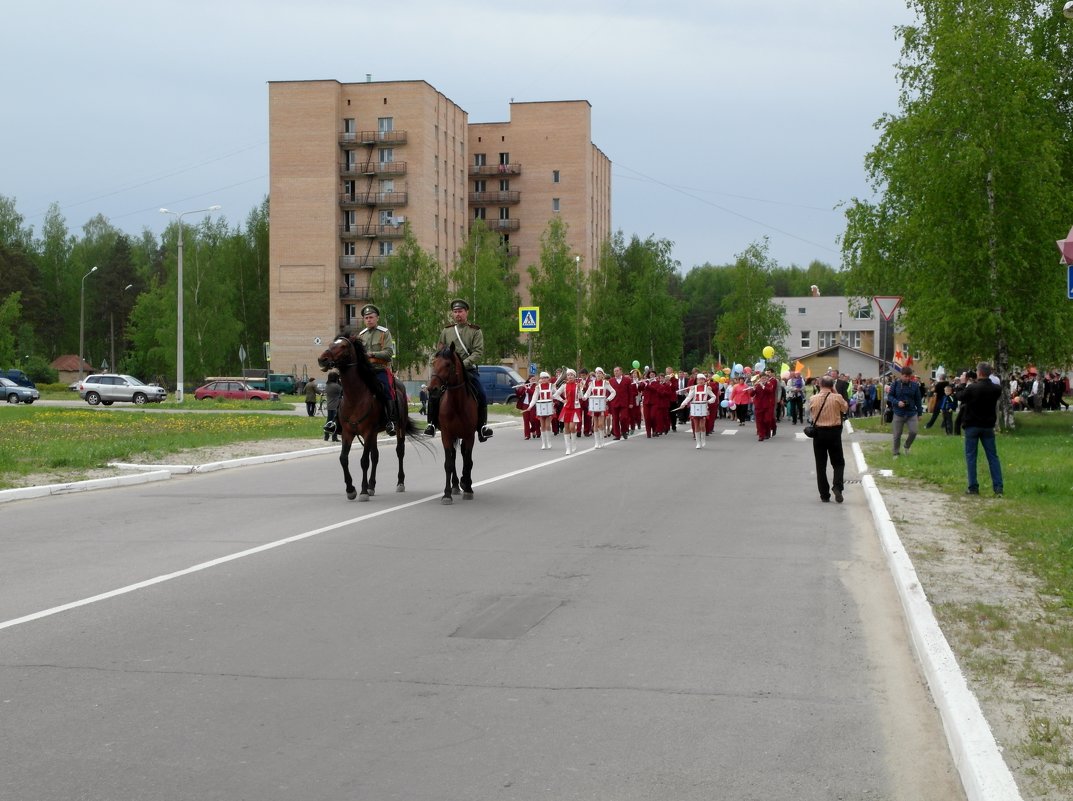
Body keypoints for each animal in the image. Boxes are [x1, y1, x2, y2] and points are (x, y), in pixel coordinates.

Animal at [313, 336, 418, 501]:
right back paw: (371, 486)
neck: (355, 397)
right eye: (331, 344)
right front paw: (351, 489)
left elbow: (364, 461)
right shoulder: (348, 433)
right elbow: (344, 459)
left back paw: (399, 483)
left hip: (399, 428)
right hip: (374, 434)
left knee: (399, 451)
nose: (322, 359)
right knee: (375, 456)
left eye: (343, 346)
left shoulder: (368, 432)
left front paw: (362, 491)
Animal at [427, 340, 478, 503]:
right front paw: (447, 493)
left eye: (448, 364)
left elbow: (468, 461)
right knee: (454, 456)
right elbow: (448, 463)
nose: (432, 389)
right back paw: (455, 485)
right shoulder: (446, 435)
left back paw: (465, 483)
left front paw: (468, 488)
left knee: (464, 457)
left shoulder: (469, 436)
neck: (456, 404)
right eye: (434, 362)